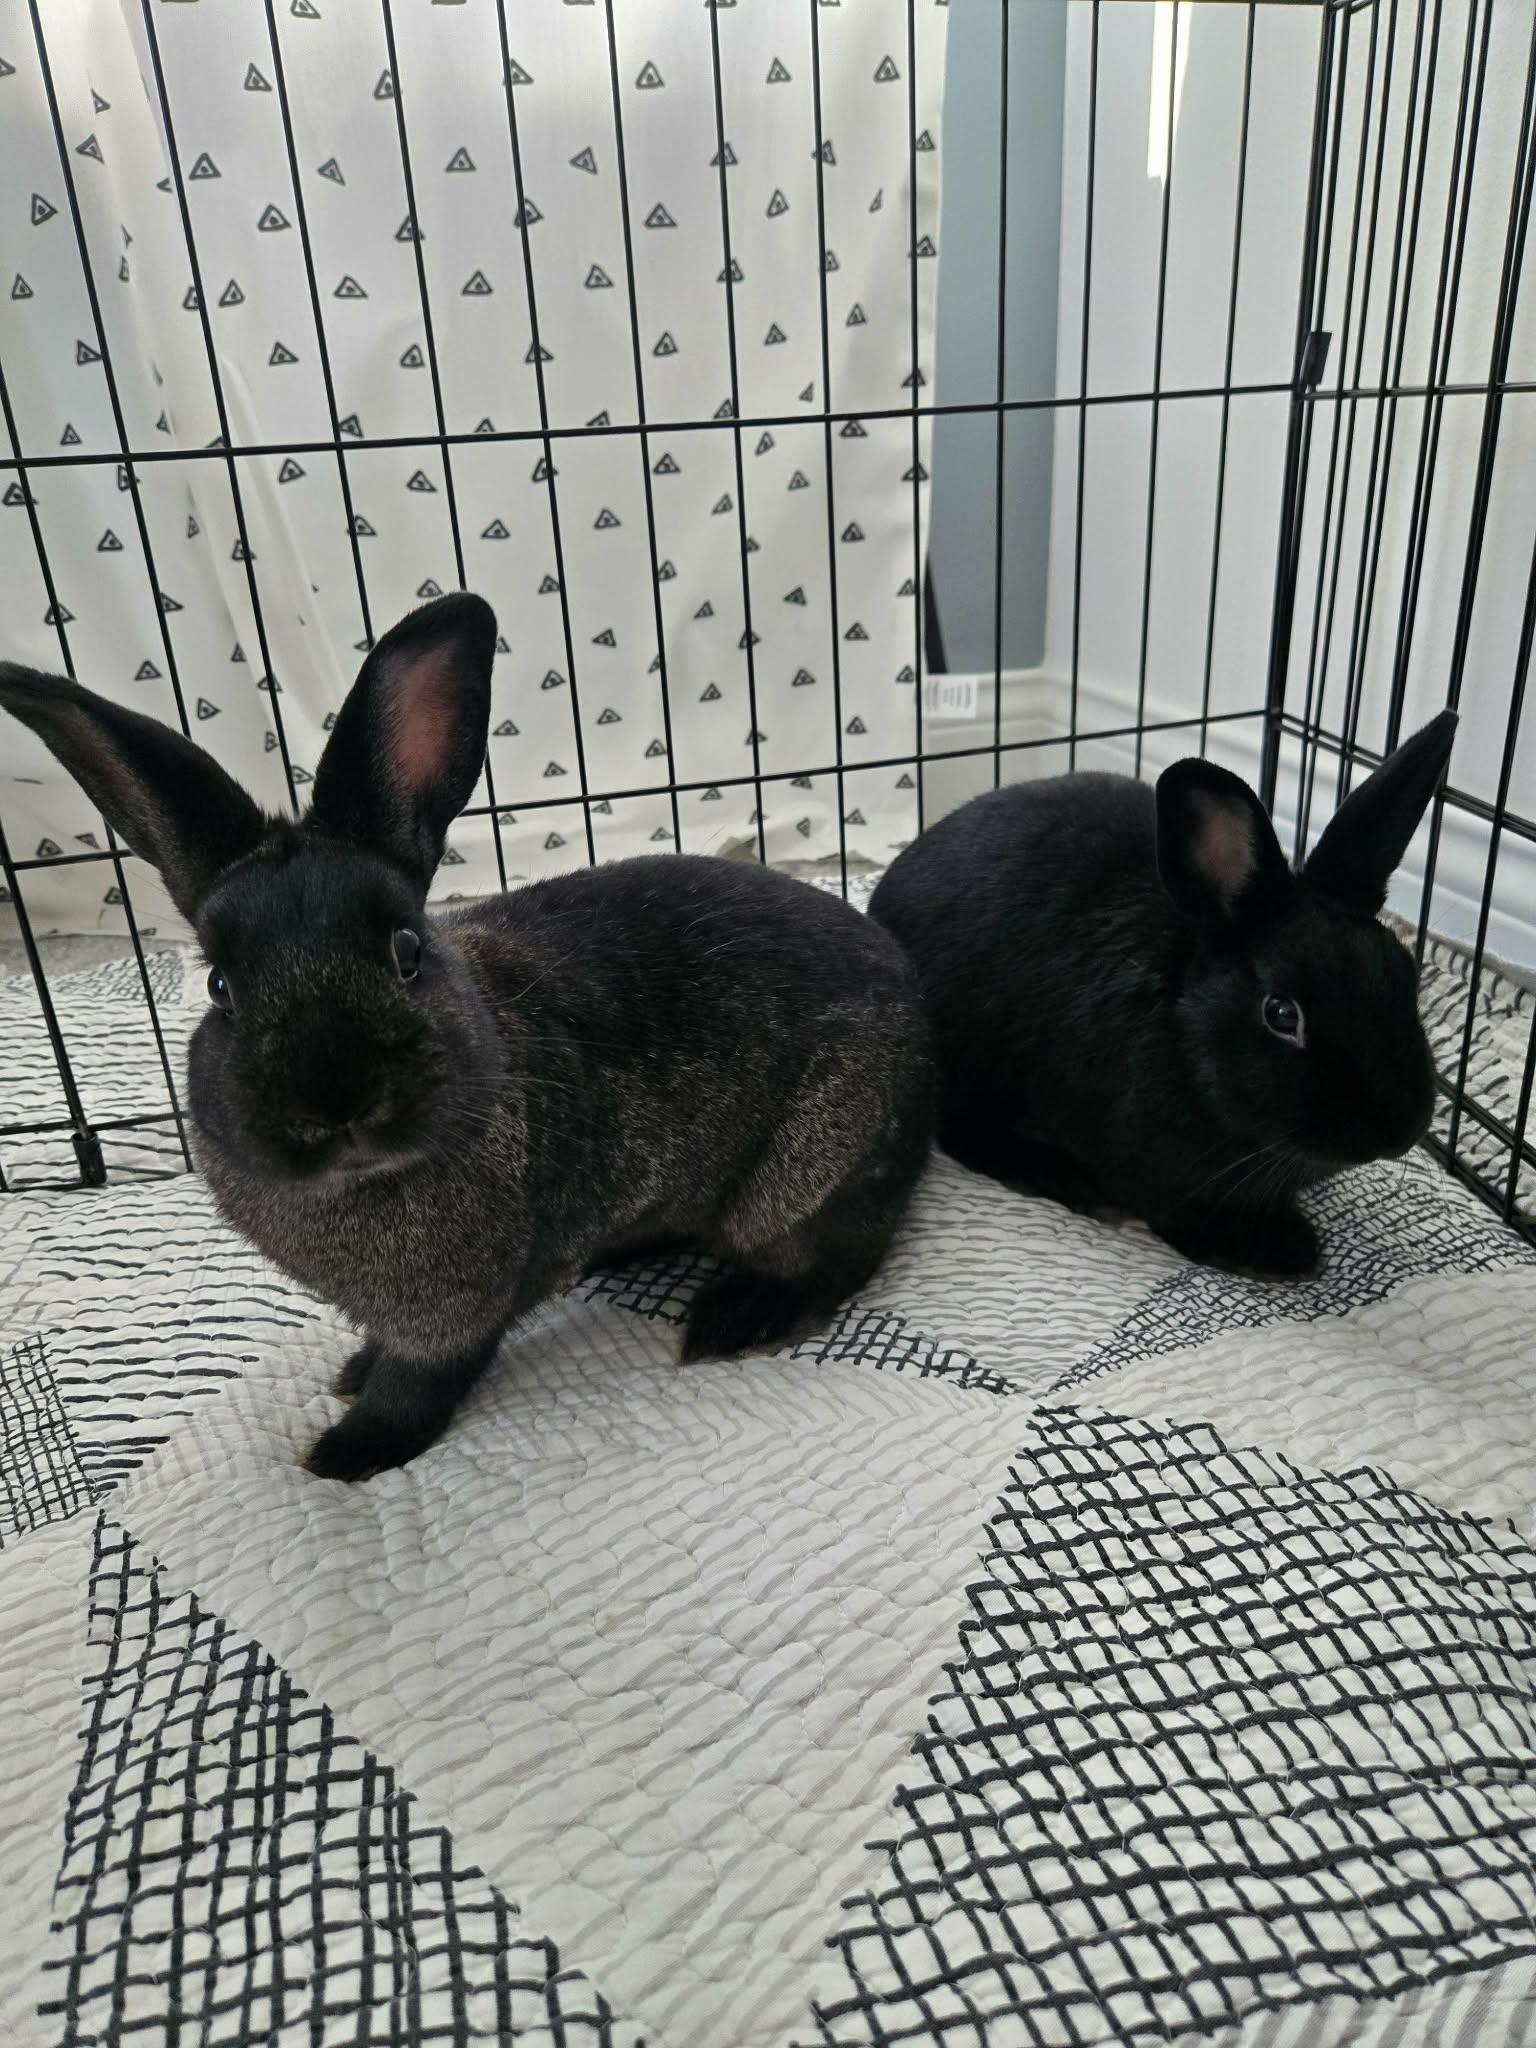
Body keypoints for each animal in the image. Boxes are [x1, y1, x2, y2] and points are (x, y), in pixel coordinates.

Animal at [0, 594, 933, 1479]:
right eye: (218, 988)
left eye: (407, 949)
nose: (334, 1099)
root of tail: (916, 1015)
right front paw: (350, 1372)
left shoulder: (454, 1318)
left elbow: (420, 1387)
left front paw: (348, 1452)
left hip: (810, 1166)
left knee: (840, 1251)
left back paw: (738, 1318)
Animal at [868, 712, 1458, 1277]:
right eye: (1281, 1014)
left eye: (1407, 974)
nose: (1397, 1131)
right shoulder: (1145, 1164)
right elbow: (1173, 1208)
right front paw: (1277, 1252)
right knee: (960, 1129)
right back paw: (1055, 1174)